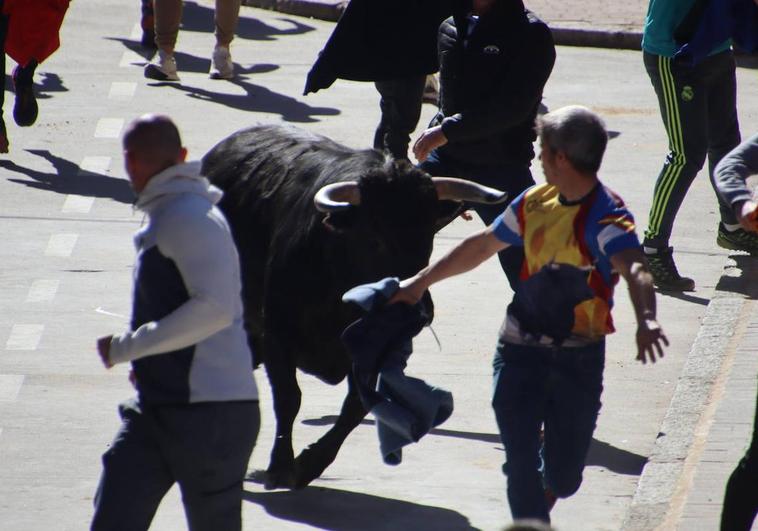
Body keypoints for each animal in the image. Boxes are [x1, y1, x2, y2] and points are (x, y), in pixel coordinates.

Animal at [205, 123, 508, 490]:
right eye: (375, 238)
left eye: (428, 238)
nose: (420, 310)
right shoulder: (278, 333)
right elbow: (289, 398)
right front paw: (280, 466)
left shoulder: (374, 349)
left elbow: (357, 406)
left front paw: (310, 463)